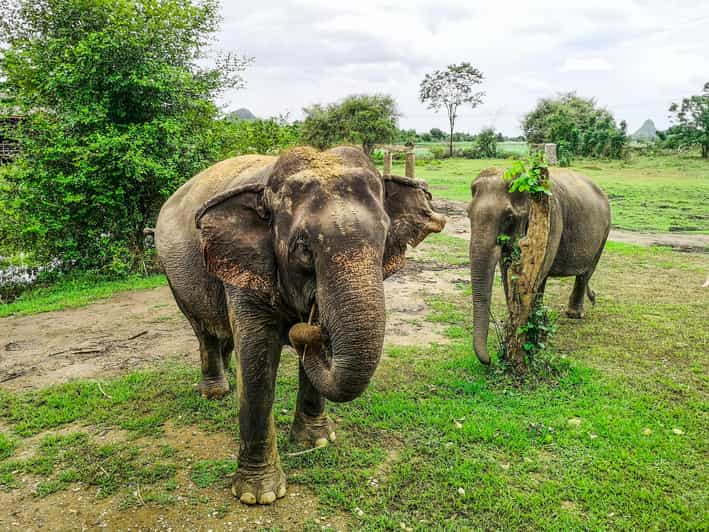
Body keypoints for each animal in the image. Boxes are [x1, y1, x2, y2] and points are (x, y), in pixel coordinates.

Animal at [156, 144, 442, 502]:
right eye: (304, 248)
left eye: (385, 237)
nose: (307, 332)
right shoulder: (246, 267)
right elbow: (256, 357)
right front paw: (258, 495)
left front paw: (317, 442)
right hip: (174, 274)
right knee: (203, 330)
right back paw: (216, 392)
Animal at [468, 168, 612, 364]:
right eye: (468, 214)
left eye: (509, 217)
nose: (490, 359)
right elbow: (507, 269)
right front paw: (513, 317)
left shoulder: (552, 219)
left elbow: (541, 268)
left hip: (604, 233)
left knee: (586, 272)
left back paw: (574, 314)